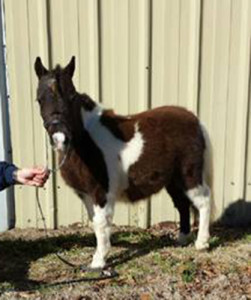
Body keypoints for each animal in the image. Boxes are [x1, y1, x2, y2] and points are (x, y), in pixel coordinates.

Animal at [34, 56, 212, 270]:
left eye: (72, 96)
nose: (60, 138)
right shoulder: (86, 194)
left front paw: (98, 262)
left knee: (204, 201)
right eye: (39, 99)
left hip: (189, 175)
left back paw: (202, 244)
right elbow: (95, 223)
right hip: (173, 181)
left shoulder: (102, 193)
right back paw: (182, 240)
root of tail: (195, 120)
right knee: (183, 204)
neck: (86, 141)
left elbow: (101, 223)